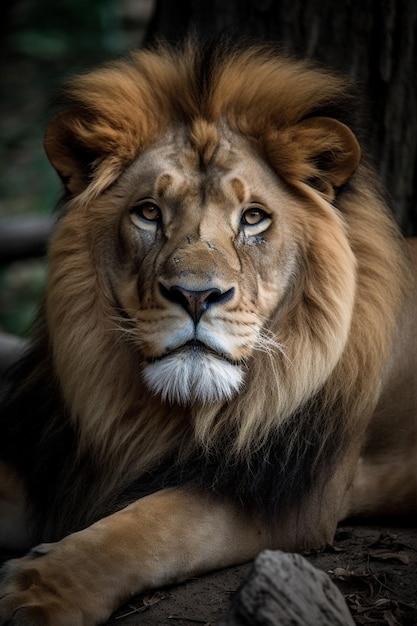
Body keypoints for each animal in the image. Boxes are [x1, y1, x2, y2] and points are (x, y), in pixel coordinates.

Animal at [0, 40, 414, 624]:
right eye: (149, 212)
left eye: (254, 218)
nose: (196, 296)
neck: (165, 416)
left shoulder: (291, 495)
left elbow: (149, 527)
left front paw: (40, 592)